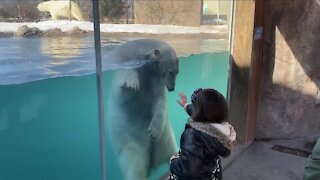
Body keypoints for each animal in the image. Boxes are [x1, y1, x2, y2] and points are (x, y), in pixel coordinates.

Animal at [105, 38, 179, 179]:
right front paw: (131, 83)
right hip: (132, 146)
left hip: (166, 139)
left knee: (173, 151)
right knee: (136, 169)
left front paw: (154, 131)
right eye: (170, 72)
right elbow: (120, 96)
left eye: (177, 73)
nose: (172, 88)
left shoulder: (155, 80)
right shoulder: (126, 66)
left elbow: (160, 102)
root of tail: (153, 162)